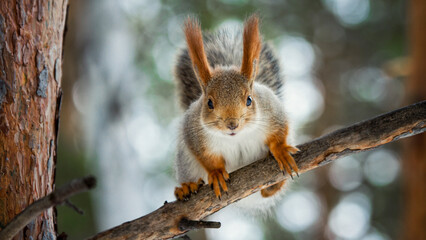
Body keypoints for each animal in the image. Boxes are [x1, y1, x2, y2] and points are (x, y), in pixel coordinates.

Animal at [173, 15, 300, 209]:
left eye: (249, 99)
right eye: (209, 103)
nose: (232, 124)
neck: (236, 137)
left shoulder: (272, 110)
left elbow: (279, 131)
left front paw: (280, 151)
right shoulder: (194, 132)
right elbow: (207, 158)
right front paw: (217, 173)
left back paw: (273, 185)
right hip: (186, 162)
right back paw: (187, 187)